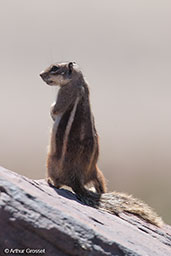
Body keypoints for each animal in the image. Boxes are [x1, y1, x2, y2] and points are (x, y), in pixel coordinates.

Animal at [39, 61, 163, 227]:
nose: (40, 74)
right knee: (101, 186)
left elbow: (55, 109)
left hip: (50, 161)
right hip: (98, 173)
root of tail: (76, 179)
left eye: (55, 68)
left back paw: (50, 181)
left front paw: (52, 112)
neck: (80, 82)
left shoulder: (64, 94)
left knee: (57, 183)